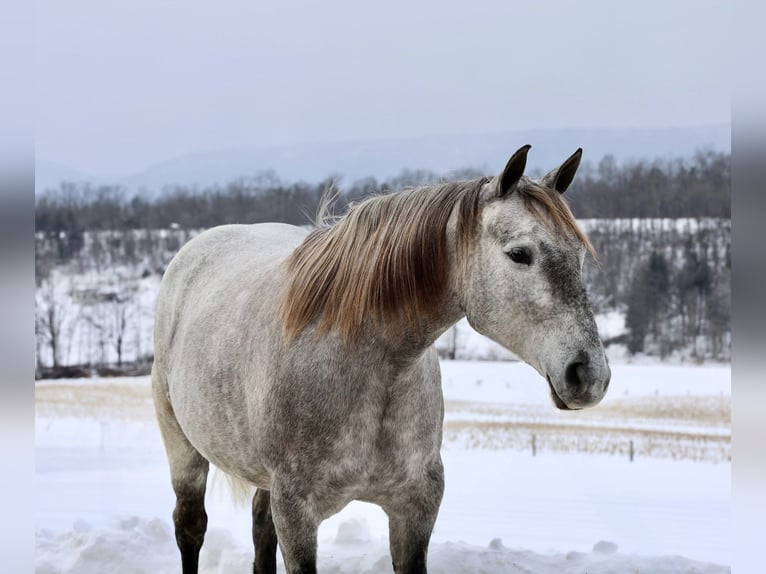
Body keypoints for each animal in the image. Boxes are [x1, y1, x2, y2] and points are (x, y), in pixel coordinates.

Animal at [151, 144, 611, 574]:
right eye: (520, 254)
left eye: (579, 254)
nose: (590, 375)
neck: (373, 368)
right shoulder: (297, 513)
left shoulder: (415, 507)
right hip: (184, 449)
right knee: (190, 526)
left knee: (260, 529)